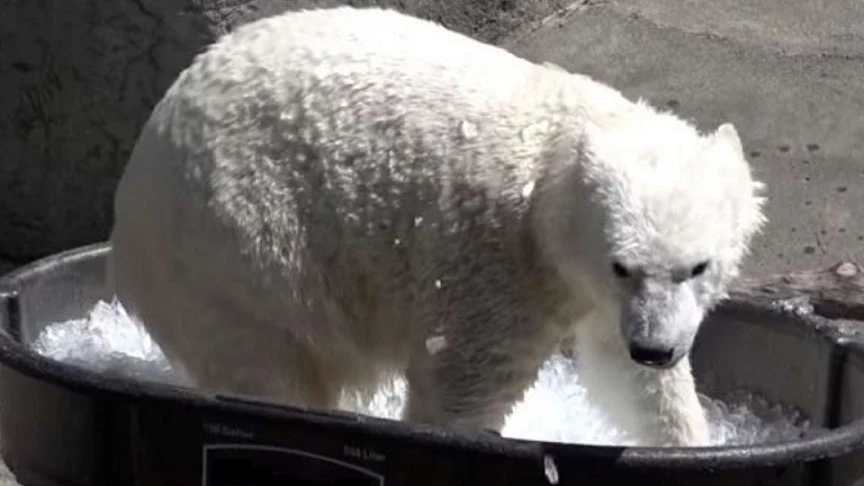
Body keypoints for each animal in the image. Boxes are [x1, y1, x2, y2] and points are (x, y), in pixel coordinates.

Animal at [106, 6, 764, 448]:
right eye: (621, 263)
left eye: (697, 266)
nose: (655, 349)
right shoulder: (496, 267)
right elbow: (463, 388)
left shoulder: (599, 296)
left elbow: (620, 372)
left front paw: (686, 439)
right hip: (235, 246)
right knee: (266, 366)